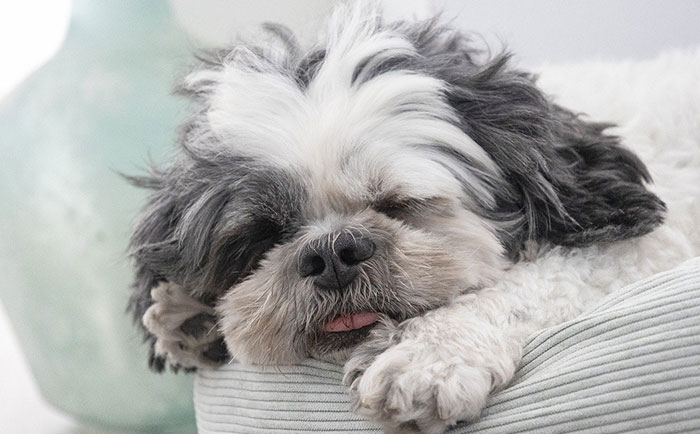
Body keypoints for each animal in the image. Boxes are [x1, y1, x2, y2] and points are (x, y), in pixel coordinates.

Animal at [126, 1, 700, 432]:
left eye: (398, 205)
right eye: (265, 236)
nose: (332, 253)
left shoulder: (644, 248)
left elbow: (535, 280)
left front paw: (428, 355)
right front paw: (189, 314)